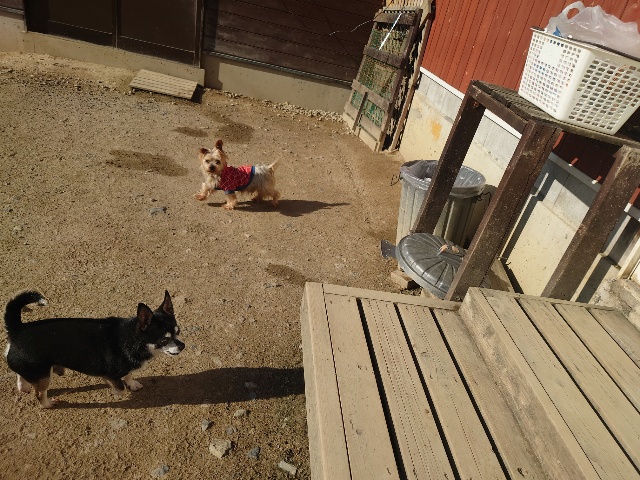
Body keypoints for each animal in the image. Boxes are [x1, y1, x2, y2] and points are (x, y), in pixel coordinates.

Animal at [3, 290, 184, 408]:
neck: (133, 340)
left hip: (37, 370)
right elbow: (120, 388)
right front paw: (120, 392)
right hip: (43, 376)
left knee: (21, 375)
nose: (182, 345)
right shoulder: (109, 374)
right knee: (40, 394)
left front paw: (132, 384)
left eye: (178, 331)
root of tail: (17, 329)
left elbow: (129, 374)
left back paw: (23, 387)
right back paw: (47, 404)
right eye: (164, 339)